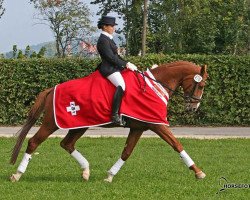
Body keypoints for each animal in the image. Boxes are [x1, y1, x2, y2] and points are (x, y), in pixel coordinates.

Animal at [9, 60, 209, 183]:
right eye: (201, 85)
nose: (193, 108)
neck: (155, 85)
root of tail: (52, 89)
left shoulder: (138, 127)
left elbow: (127, 152)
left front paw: (110, 176)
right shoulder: (157, 124)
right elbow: (177, 145)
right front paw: (198, 172)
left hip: (79, 126)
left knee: (67, 144)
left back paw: (86, 171)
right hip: (52, 124)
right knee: (34, 142)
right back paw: (17, 174)